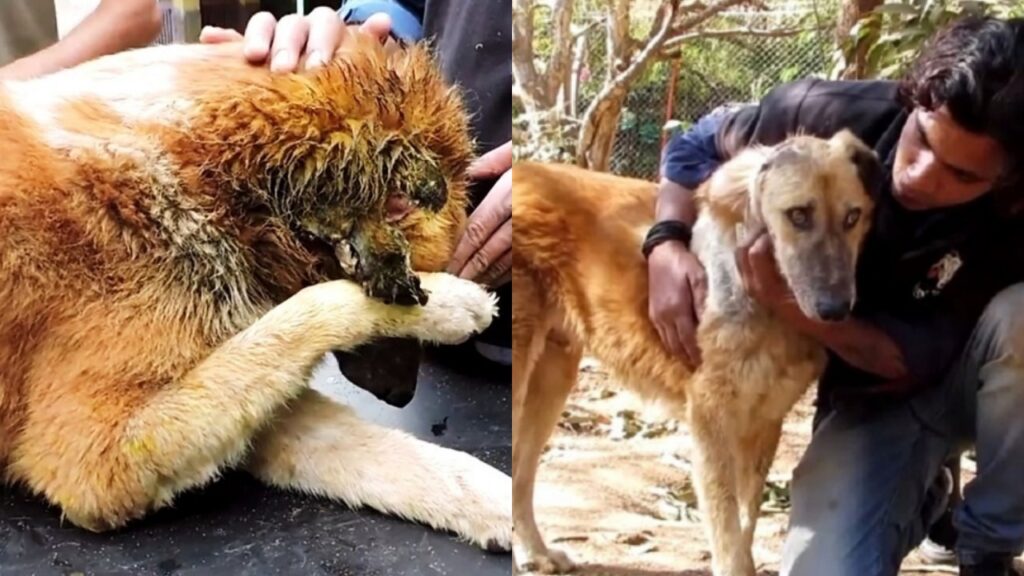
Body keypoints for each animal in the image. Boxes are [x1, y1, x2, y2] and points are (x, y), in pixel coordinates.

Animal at [0, 33, 512, 549]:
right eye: (422, 278)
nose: (402, 398)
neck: (214, 182)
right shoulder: (93, 457)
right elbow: (302, 313)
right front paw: (454, 305)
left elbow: (389, 455)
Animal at [516, 131, 884, 573]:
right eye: (798, 215)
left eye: (852, 217)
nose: (835, 311)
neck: (770, 309)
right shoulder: (712, 419)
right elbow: (729, 539)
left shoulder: (764, 422)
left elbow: (745, 526)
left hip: (554, 377)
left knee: (520, 470)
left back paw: (533, 551)